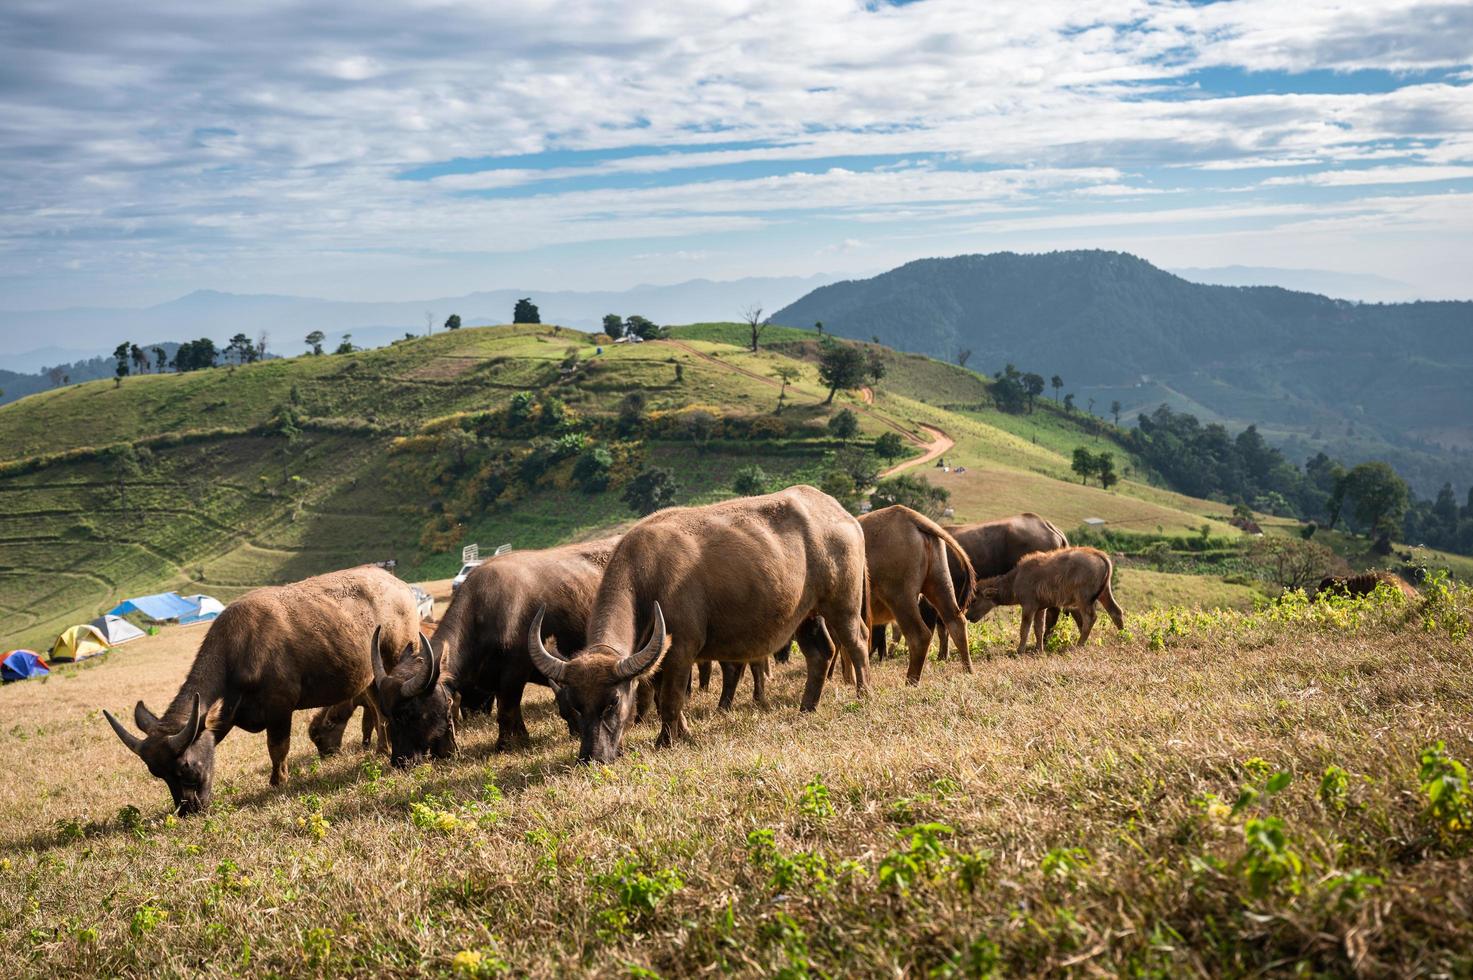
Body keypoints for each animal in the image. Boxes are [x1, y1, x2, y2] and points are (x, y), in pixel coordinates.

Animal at [104, 562, 418, 813]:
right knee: (378, 710)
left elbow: (277, 747)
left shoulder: (280, 707)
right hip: (372, 675)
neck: (240, 649)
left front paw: (278, 781)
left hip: (398, 656)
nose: (187, 809)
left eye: (186, 767)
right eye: (158, 773)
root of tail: (399, 586)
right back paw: (382, 748)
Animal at [371, 536, 624, 766]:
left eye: (407, 712)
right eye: (386, 713)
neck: (486, 612)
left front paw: (502, 744)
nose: (399, 761)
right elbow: (513, 712)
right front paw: (522, 738)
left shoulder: (514, 673)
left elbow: (506, 710)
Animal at [530, 486, 872, 760]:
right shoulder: (659, 656)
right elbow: (663, 696)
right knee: (820, 653)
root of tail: (841, 514)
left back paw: (863, 695)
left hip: (842, 603)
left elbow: (670, 699)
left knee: (857, 643)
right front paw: (682, 733)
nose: (592, 757)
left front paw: (665, 741)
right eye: (574, 704)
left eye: (613, 702)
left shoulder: (681, 650)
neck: (648, 576)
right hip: (805, 615)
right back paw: (807, 707)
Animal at [860, 504, 972, 680]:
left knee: (919, 636)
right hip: (940, 583)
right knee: (956, 623)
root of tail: (910, 517)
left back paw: (911, 681)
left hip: (900, 598)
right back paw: (968, 671)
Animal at [972, 545, 1119, 654]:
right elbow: (1039, 629)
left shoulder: (1029, 607)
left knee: (1090, 618)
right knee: (1115, 611)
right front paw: (1039, 649)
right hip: (1105, 593)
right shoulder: (1040, 609)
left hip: (1083, 600)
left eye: (974, 600)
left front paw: (1019, 650)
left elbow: (1024, 629)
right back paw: (1121, 634)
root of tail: (1098, 554)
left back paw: (1079, 645)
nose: (968, 616)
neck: (1015, 579)